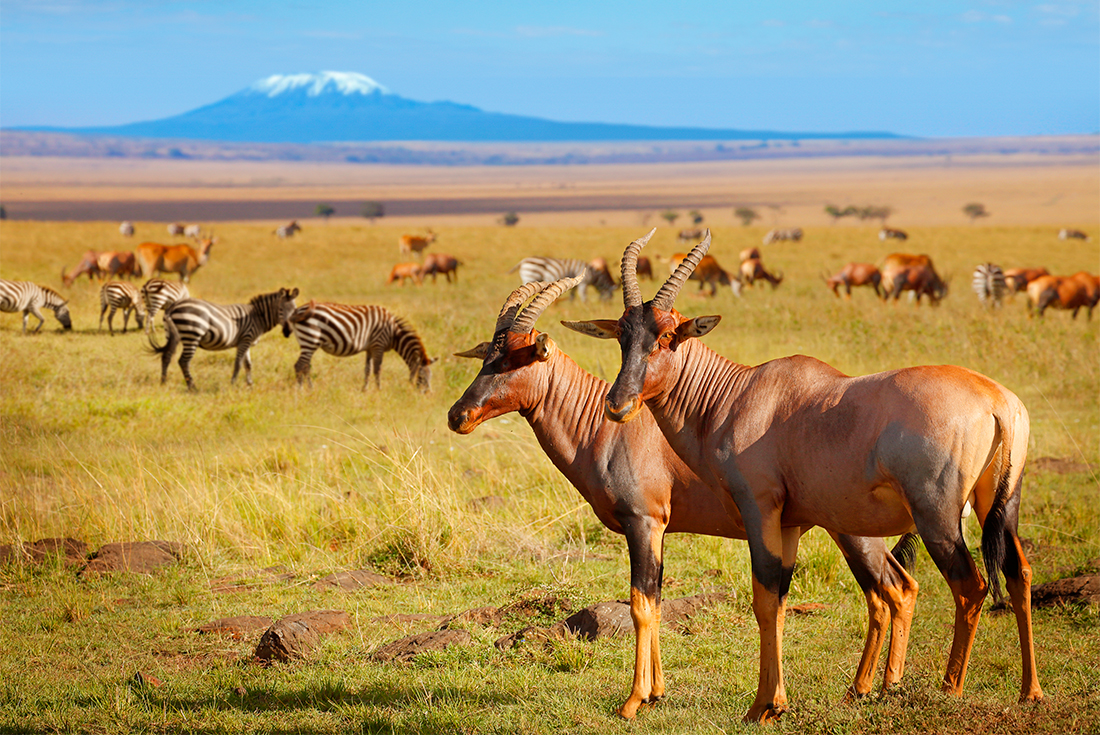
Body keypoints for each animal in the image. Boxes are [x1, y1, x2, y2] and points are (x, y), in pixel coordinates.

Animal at [152, 287, 299, 390]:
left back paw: (163, 382)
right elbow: (238, 363)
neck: (258, 316)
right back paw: (192, 386)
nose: (288, 331)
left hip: (172, 335)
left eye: (295, 309)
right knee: (183, 361)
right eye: (280, 309)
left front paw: (250, 384)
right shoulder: (245, 339)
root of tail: (173, 306)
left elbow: (248, 364)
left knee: (166, 356)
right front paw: (233, 384)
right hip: (192, 335)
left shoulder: (246, 341)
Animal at [283, 302, 437, 392]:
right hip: (310, 338)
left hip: (308, 341)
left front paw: (365, 390)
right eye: (422, 376)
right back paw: (300, 390)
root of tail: (297, 310)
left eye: (431, 377)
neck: (394, 333)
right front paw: (379, 390)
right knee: (299, 365)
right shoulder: (378, 345)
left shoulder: (370, 348)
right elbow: (377, 369)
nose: (428, 395)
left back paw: (310, 389)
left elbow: (367, 370)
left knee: (305, 366)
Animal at [450, 278, 920, 719]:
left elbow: (641, 604)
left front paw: (633, 701)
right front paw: (657, 693)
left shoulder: (643, 522)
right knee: (889, 592)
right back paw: (862, 689)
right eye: (487, 357)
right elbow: (655, 602)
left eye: (519, 357)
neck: (608, 427)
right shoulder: (660, 530)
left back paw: (881, 688)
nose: (459, 415)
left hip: (853, 530)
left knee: (893, 589)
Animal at [565, 229, 1043, 722]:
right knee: (1018, 573)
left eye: (665, 336)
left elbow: (762, 598)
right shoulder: (790, 523)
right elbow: (778, 600)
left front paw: (761, 706)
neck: (740, 394)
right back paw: (1030, 691)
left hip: (937, 518)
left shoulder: (759, 510)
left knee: (971, 586)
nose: (617, 405)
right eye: (622, 336)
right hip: (1000, 504)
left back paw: (949, 690)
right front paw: (773, 702)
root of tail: (997, 401)